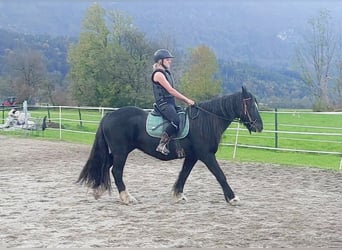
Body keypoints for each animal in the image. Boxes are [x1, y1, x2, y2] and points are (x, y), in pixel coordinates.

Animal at [78, 86, 264, 205]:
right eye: (250, 104)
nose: (259, 126)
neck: (205, 121)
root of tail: (109, 115)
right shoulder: (206, 155)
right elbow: (220, 175)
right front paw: (232, 198)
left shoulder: (193, 156)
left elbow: (184, 175)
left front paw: (178, 195)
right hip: (121, 152)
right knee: (116, 171)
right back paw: (126, 198)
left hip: (119, 151)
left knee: (105, 165)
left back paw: (97, 191)